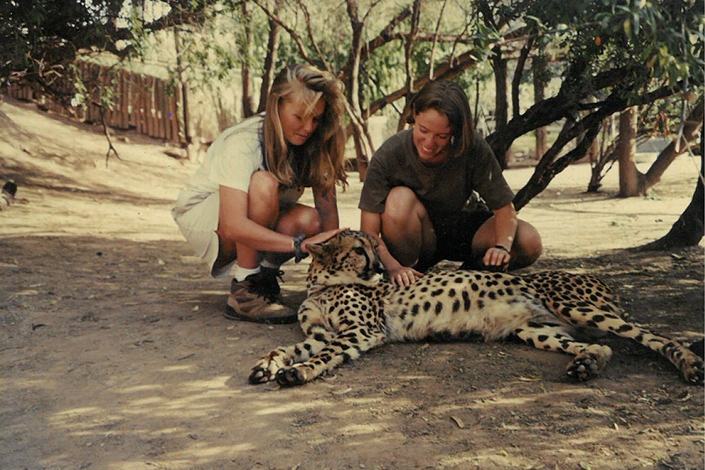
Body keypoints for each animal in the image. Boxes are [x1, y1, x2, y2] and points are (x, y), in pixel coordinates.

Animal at [249, 229, 704, 388]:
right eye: (360, 250)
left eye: (373, 248)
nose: (380, 267)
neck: (323, 286)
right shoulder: (320, 333)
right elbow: (288, 347)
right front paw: (268, 365)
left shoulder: (362, 331)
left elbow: (324, 356)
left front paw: (297, 373)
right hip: (537, 328)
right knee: (602, 346)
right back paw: (585, 366)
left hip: (575, 306)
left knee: (658, 336)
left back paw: (689, 365)